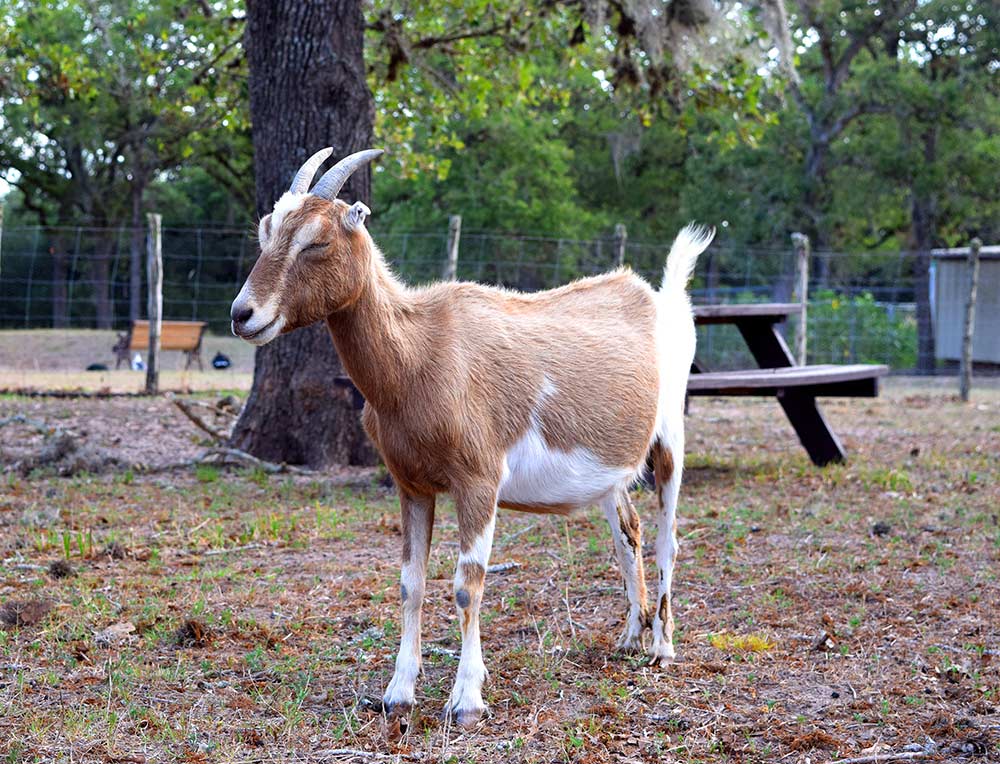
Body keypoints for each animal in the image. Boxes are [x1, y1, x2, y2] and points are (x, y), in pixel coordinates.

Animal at [230, 146, 716, 724]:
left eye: (318, 241)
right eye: (266, 230)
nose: (242, 314)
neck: (417, 357)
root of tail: (660, 299)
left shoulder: (479, 481)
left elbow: (469, 586)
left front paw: (466, 698)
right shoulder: (411, 485)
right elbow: (410, 583)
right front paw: (398, 691)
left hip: (670, 438)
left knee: (668, 538)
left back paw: (662, 646)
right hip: (610, 470)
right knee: (629, 532)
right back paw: (629, 637)